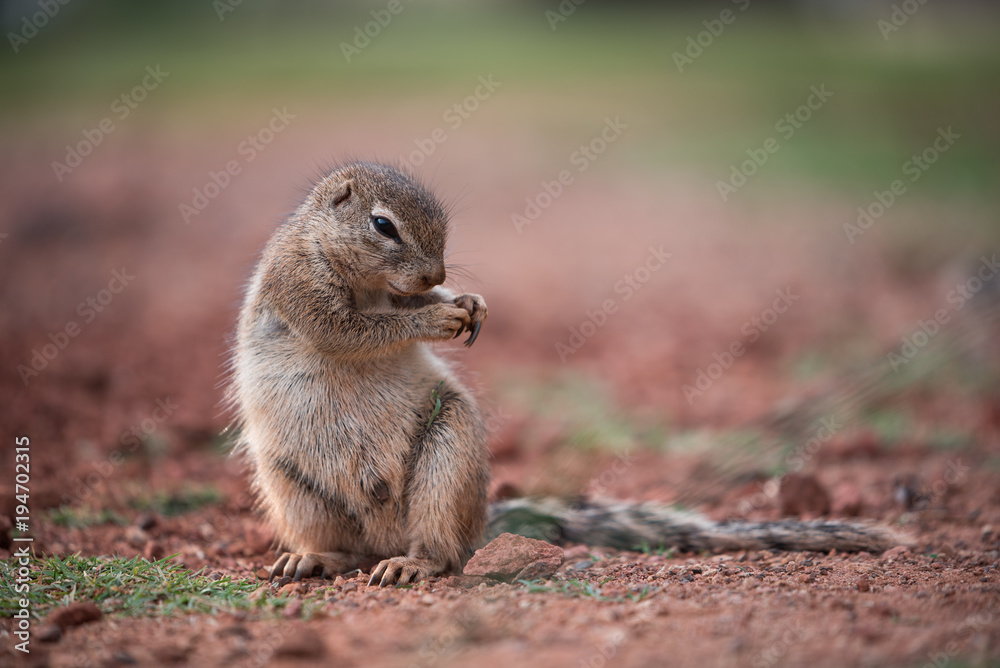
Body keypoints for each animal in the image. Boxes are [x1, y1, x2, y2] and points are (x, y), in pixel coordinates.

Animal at [230, 161, 900, 588]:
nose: (434, 276)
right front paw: (437, 315)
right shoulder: (302, 286)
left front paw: (468, 302)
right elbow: (350, 330)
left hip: (446, 457)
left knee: (441, 551)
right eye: (382, 225)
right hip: (293, 491)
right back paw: (313, 561)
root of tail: (387, 538)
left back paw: (412, 564)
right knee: (344, 548)